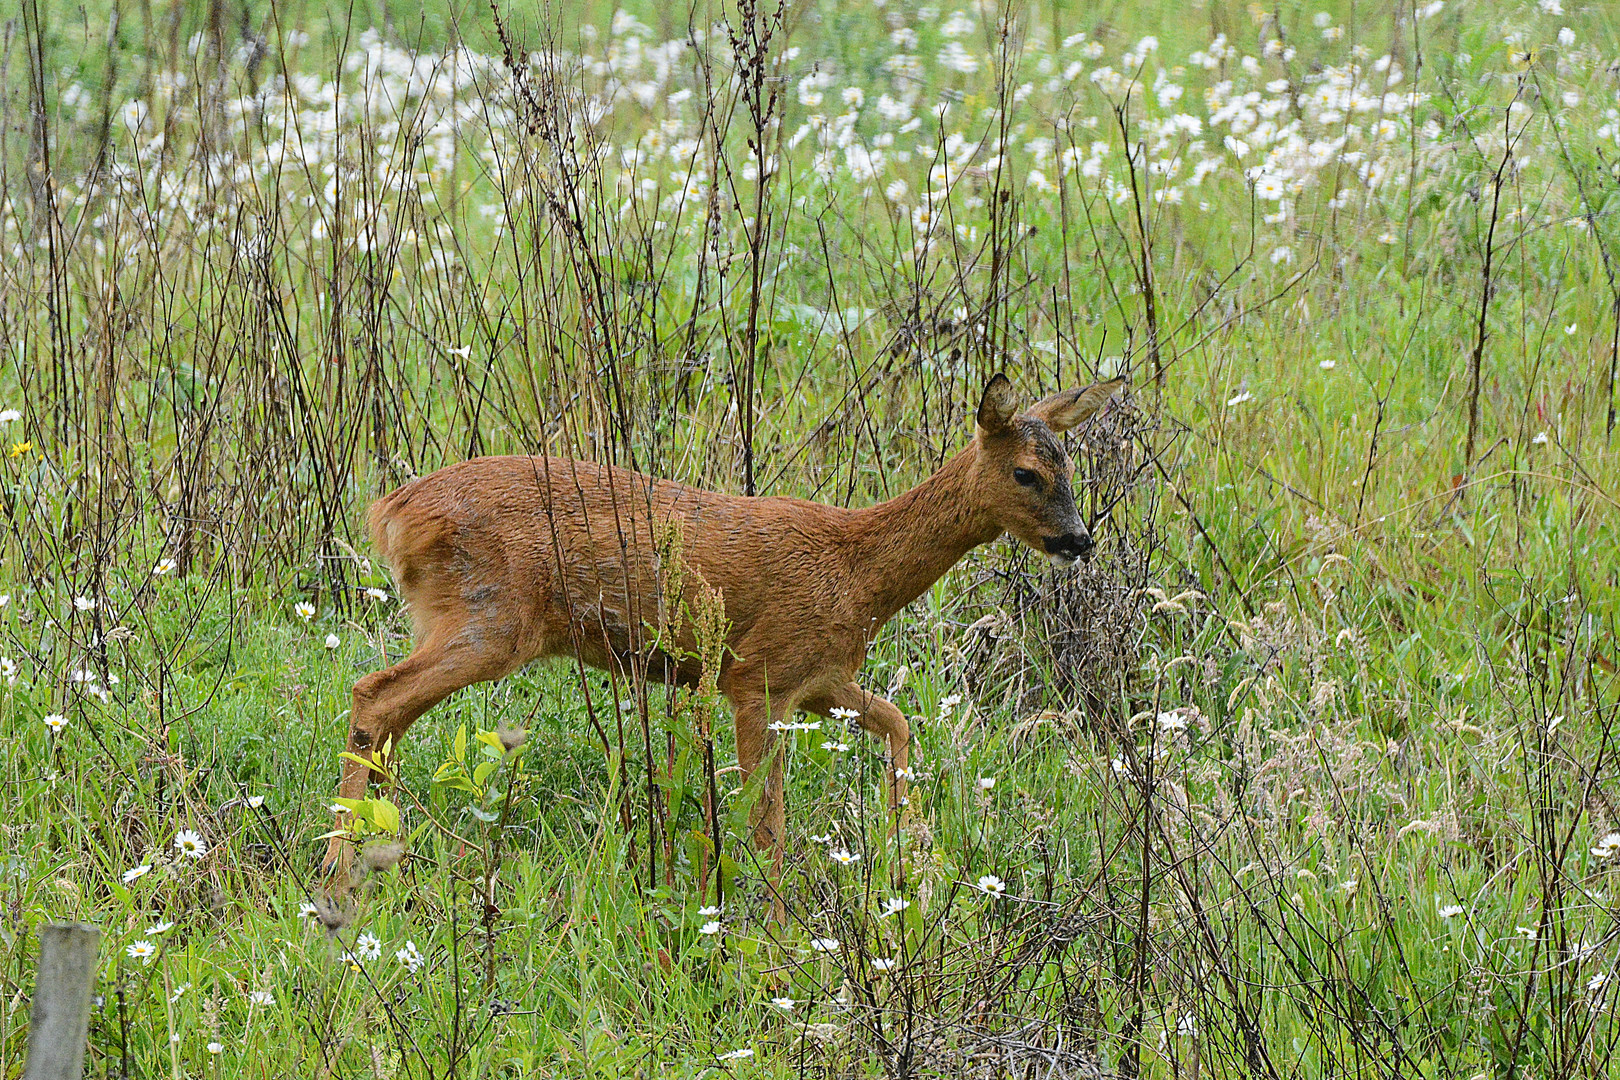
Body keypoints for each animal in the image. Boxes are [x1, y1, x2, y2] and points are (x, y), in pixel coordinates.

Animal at [315, 374, 1127, 906]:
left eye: (1071, 465)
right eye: (1025, 472)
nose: (1079, 540)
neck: (856, 570)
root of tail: (392, 512)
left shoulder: (818, 679)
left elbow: (899, 722)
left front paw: (912, 859)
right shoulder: (754, 677)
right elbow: (767, 823)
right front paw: (772, 933)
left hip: (462, 619)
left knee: (388, 714)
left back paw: (374, 856)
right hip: (490, 619)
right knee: (372, 693)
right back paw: (338, 878)